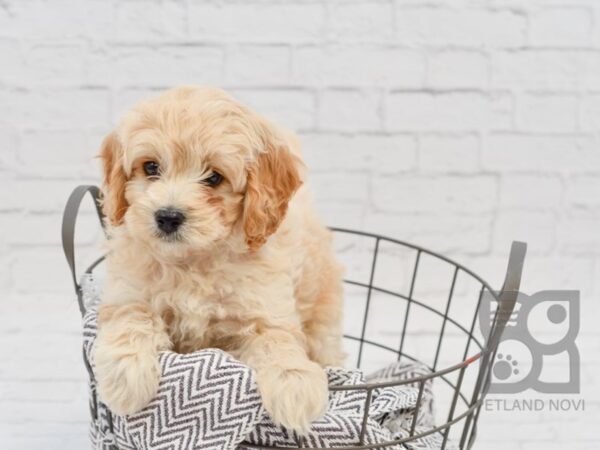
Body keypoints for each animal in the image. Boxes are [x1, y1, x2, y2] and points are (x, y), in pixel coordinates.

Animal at [95, 86, 346, 434]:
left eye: (213, 178)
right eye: (151, 167)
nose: (168, 217)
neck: (193, 260)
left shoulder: (264, 310)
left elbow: (277, 340)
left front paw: (295, 385)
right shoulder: (127, 291)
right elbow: (133, 317)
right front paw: (126, 375)